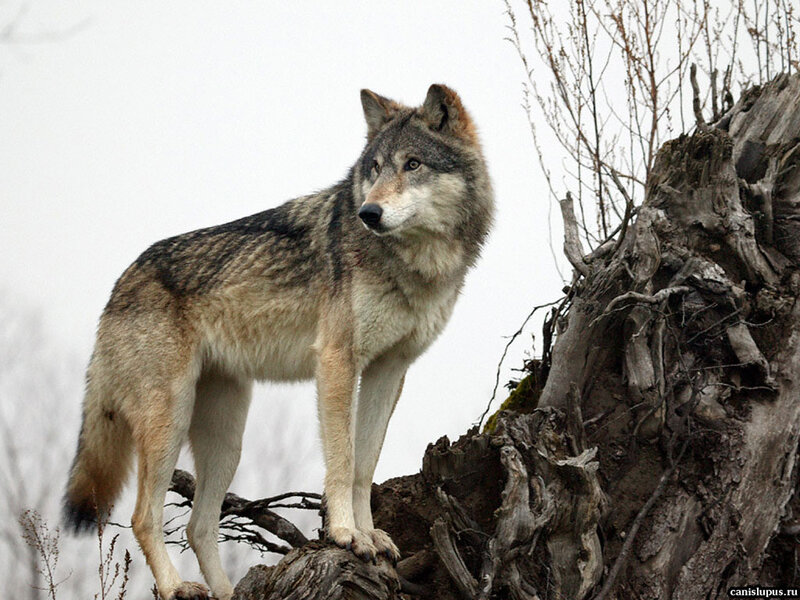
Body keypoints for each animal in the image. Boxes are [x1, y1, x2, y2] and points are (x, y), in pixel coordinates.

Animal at [62, 84, 493, 600]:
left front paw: (370, 536)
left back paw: (226, 593)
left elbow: (365, 465)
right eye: (374, 168)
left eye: (413, 164)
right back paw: (175, 587)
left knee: (198, 526)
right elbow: (342, 460)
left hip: (227, 439)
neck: (415, 263)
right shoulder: (337, 361)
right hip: (170, 420)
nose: (368, 212)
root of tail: (120, 283)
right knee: (142, 517)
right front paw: (346, 535)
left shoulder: (388, 370)